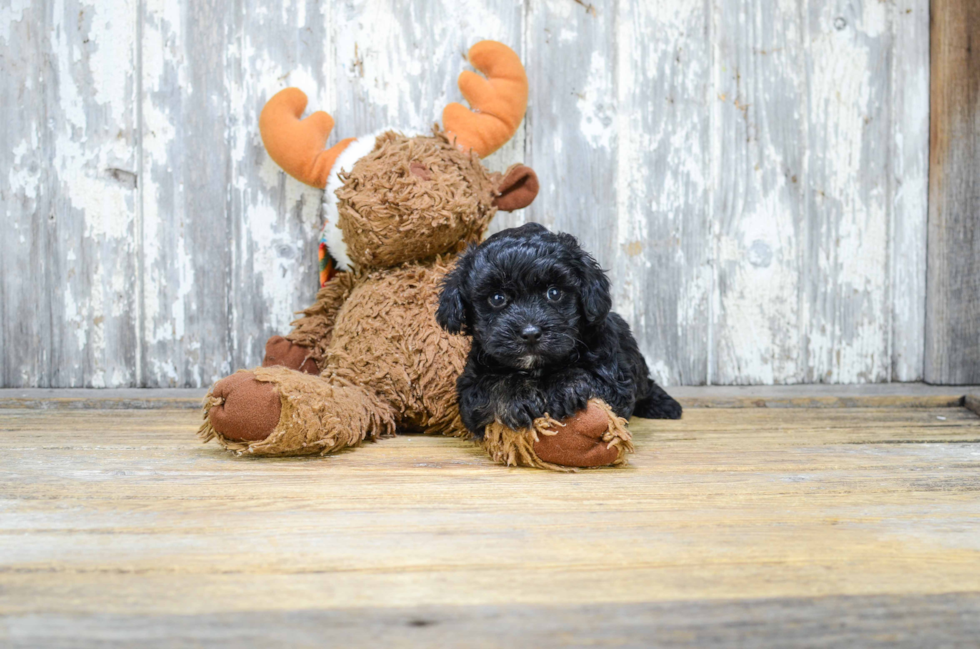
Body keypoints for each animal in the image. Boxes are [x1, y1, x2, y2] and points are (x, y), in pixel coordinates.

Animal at [436, 220, 680, 438]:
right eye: (497, 298)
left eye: (554, 293)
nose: (530, 333)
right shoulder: (469, 387)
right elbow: (489, 386)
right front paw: (517, 396)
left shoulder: (614, 376)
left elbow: (592, 378)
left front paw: (565, 388)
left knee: (646, 385)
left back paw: (664, 405)